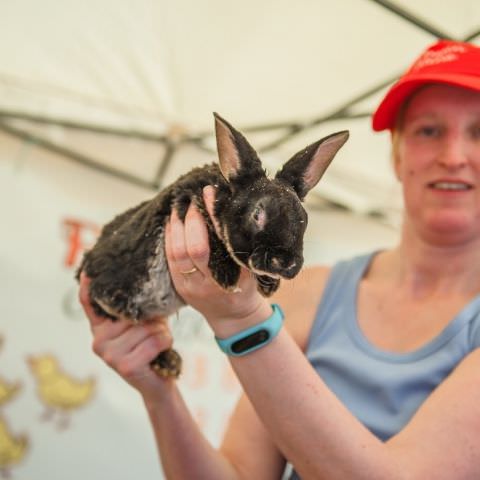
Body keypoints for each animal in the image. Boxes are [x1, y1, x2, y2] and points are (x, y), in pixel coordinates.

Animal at [78, 113, 348, 378]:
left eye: (304, 220)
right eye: (257, 214)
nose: (284, 263)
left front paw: (269, 285)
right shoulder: (188, 203)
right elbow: (213, 235)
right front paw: (227, 276)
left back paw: (170, 364)